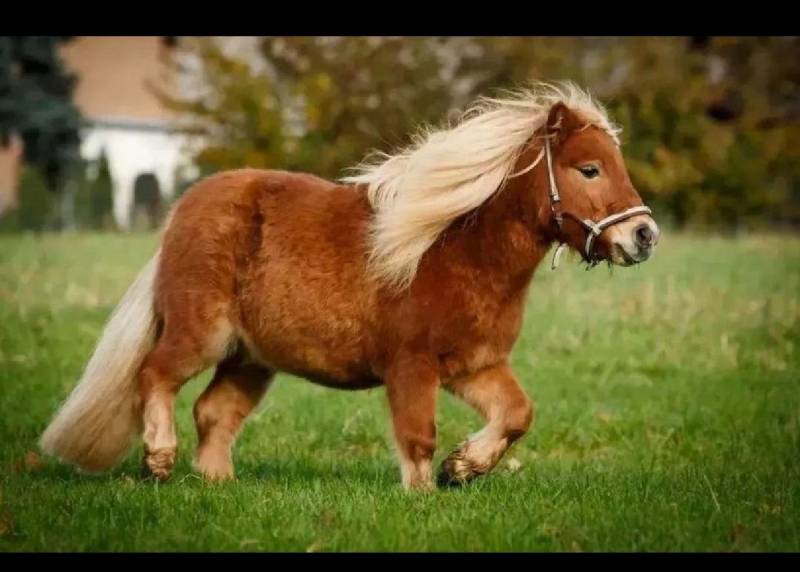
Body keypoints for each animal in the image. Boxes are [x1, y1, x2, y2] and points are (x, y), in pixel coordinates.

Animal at [40, 82, 659, 491]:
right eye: (588, 170)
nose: (644, 235)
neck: (453, 248)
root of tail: (184, 209)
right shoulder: (411, 367)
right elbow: (418, 438)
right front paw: (425, 495)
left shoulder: (476, 366)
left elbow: (517, 414)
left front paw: (464, 467)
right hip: (201, 335)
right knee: (155, 376)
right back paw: (159, 460)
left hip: (249, 358)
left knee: (214, 413)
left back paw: (218, 485)